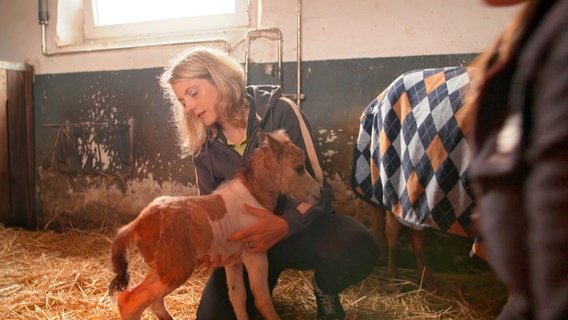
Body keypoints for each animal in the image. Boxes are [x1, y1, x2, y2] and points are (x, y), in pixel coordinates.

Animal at [108, 130, 322, 320]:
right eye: (299, 168)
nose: (320, 193)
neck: (252, 195)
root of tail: (138, 223)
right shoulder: (255, 254)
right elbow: (263, 301)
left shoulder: (233, 261)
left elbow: (237, 297)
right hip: (175, 268)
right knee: (131, 301)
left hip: (161, 268)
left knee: (151, 301)